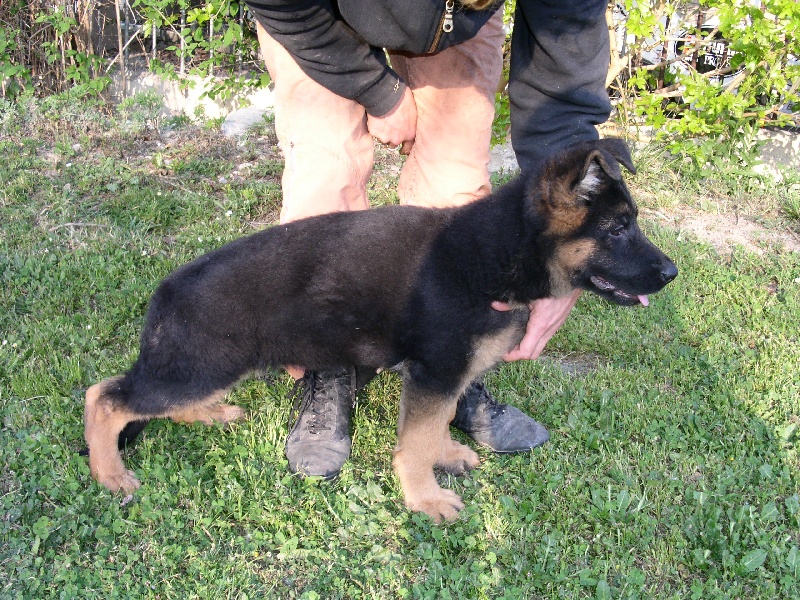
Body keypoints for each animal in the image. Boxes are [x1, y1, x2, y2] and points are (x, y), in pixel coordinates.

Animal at [86, 139, 676, 520]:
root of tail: (166, 291)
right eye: (618, 228)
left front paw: (444, 454)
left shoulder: (444, 375)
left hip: (206, 369)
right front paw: (426, 498)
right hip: (199, 366)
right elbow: (414, 440)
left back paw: (207, 415)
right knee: (105, 397)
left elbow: (433, 426)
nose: (671, 273)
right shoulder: (436, 371)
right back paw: (109, 473)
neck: (495, 251)